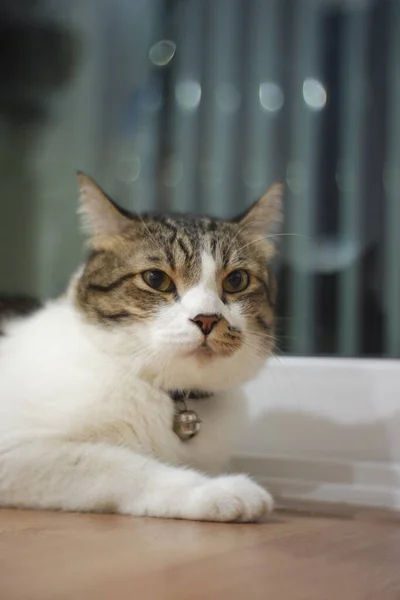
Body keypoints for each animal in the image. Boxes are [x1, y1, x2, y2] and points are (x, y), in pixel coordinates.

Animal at [0, 173, 282, 520]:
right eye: (156, 279)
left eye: (236, 281)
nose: (207, 319)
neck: (168, 396)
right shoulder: (16, 449)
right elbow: (120, 465)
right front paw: (220, 490)